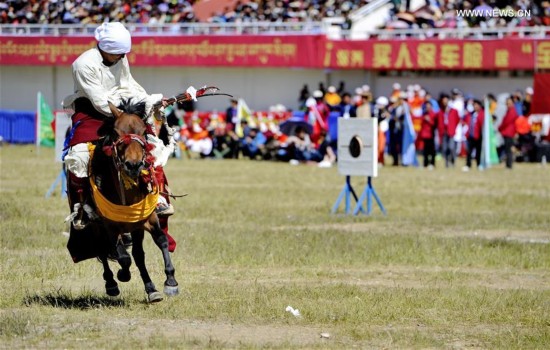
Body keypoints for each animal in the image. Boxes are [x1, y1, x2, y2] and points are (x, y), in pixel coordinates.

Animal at [86, 100, 180, 302]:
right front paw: (123, 275)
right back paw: (111, 283)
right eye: (116, 132)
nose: (133, 165)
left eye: (143, 132)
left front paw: (170, 281)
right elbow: (122, 256)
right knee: (103, 251)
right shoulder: (110, 227)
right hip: (97, 227)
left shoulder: (147, 220)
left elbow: (161, 240)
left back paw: (151, 288)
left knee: (138, 255)